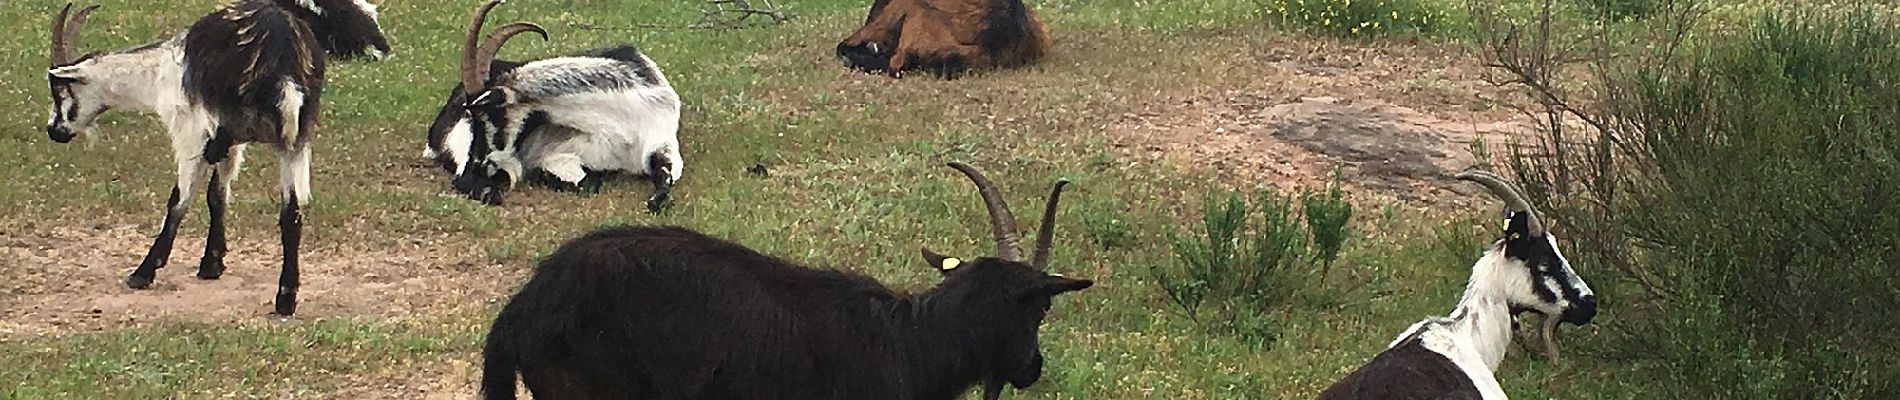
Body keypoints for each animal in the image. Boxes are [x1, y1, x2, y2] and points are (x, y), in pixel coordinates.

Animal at [43, 0, 389, 314]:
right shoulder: (232, 142)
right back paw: (286, 298)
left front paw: (144, 272)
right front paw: (212, 262)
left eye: (60, 90)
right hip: (296, 139)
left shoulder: (191, 133)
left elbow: (179, 201)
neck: (157, 71)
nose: (54, 130)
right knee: (292, 213)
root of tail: (282, 52)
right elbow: (217, 196)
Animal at [431, 0, 684, 212]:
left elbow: (665, 177)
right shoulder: (556, 156)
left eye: (487, 115)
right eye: (472, 115)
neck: (620, 125)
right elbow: (585, 182)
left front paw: (656, 200)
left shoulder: (663, 142)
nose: (473, 167)